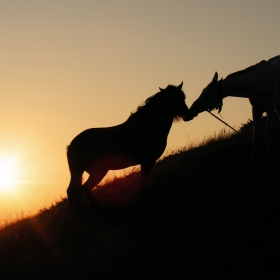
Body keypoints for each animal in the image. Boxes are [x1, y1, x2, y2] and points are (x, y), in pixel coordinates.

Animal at [66, 82, 191, 210]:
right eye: (174, 99)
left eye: (183, 98)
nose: (188, 115)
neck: (147, 125)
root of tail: (71, 145)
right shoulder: (148, 161)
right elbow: (143, 182)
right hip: (94, 171)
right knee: (81, 189)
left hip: (85, 172)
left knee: (75, 190)